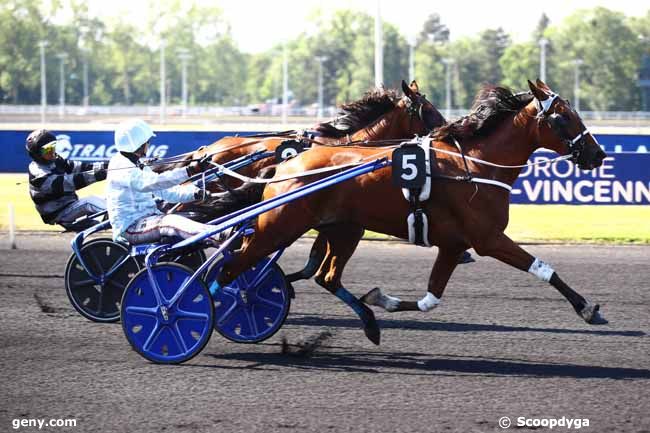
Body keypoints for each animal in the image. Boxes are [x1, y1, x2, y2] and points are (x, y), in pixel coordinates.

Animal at [216, 78, 608, 344]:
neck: (474, 166)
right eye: (563, 117)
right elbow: (543, 268)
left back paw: (369, 322)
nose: (598, 154)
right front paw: (587, 309)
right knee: (230, 268)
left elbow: (431, 298)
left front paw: (382, 299)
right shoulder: (488, 238)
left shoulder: (453, 244)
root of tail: (284, 166)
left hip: (343, 229)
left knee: (325, 275)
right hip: (278, 228)